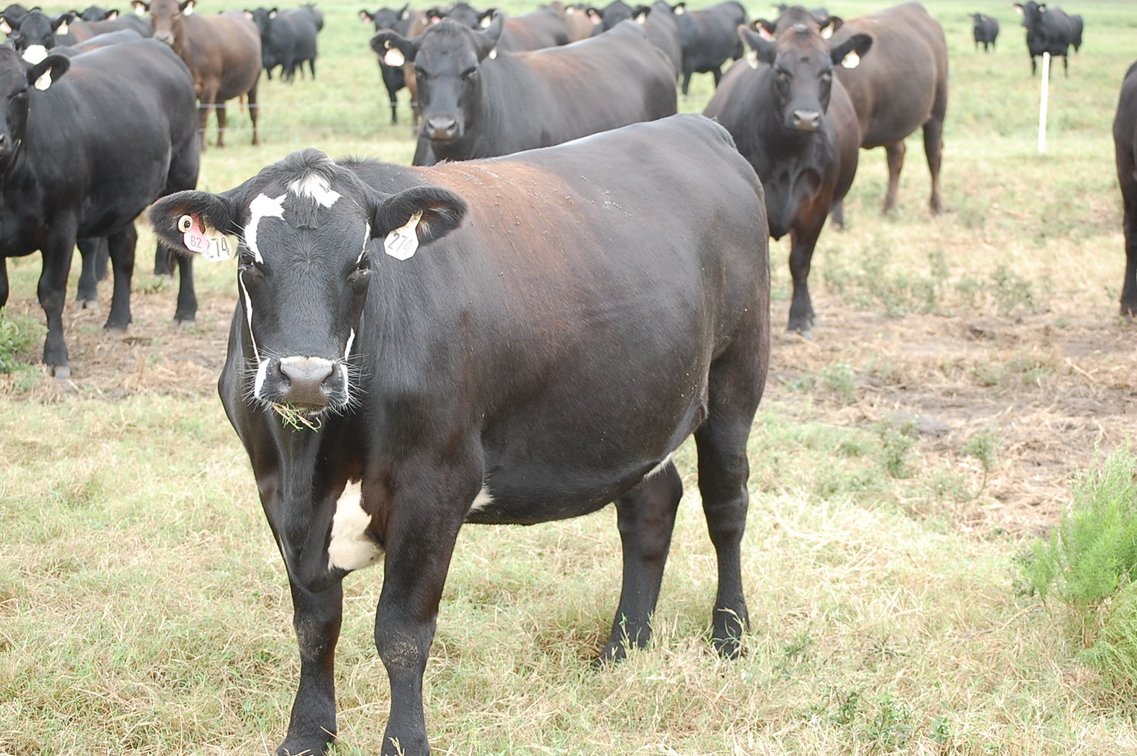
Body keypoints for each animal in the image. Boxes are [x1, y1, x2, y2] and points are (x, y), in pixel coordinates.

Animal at [0, 39, 199, 378]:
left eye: (20, 91)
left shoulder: (62, 224)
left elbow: (51, 291)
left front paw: (56, 357)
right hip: (122, 195)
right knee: (124, 250)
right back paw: (118, 319)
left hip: (183, 171)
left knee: (184, 249)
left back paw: (185, 311)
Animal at [132, 0, 262, 148]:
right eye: (152, 14)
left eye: (175, 13)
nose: (162, 37)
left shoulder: (209, 86)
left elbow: (203, 116)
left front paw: (202, 146)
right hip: (220, 93)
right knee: (222, 115)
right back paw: (220, 143)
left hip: (254, 81)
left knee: (253, 111)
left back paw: (255, 141)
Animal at [148, 112, 769, 756]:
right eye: (249, 261)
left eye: (362, 264)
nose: (306, 376)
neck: (310, 461)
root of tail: (695, 125)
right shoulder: (277, 493)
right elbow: (314, 626)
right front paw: (306, 735)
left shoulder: (435, 487)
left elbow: (401, 633)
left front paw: (404, 742)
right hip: (635, 413)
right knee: (650, 507)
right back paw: (624, 646)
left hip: (736, 377)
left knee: (726, 504)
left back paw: (729, 633)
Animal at [705, 20, 870, 335]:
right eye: (781, 72)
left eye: (826, 73)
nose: (805, 118)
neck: (788, 155)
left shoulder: (816, 208)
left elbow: (800, 261)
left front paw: (801, 316)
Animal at [824, 2, 948, 217]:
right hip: (895, 120)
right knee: (896, 155)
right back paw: (889, 206)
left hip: (937, 111)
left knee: (933, 153)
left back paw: (936, 206)